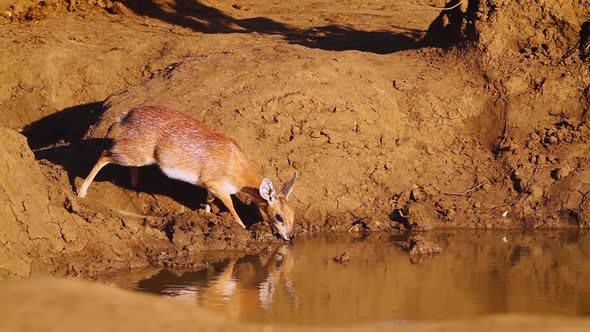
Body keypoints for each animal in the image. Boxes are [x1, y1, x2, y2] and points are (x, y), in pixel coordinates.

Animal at [77, 105, 300, 239]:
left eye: (293, 214)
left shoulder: (208, 185)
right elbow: (230, 205)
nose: (290, 236)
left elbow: (209, 199)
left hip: (138, 154)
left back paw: (134, 185)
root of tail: (125, 115)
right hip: (135, 152)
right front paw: (243, 227)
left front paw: (206, 214)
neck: (238, 172)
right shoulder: (216, 183)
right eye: (279, 216)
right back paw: (81, 192)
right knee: (104, 154)